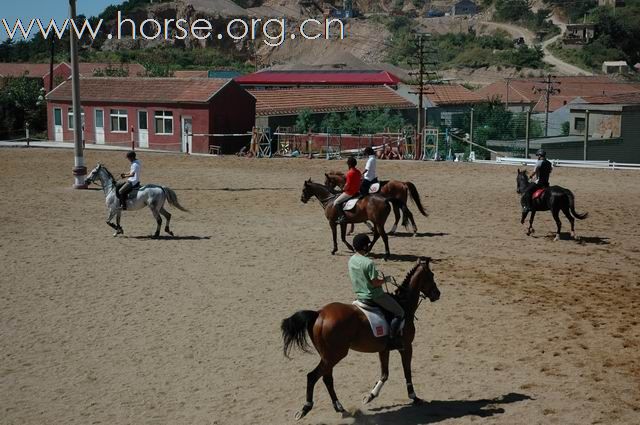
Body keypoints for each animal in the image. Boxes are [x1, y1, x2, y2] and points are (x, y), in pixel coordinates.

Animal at [280, 256, 440, 420]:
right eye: (431, 275)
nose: (437, 294)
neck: (404, 305)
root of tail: (319, 314)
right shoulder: (407, 347)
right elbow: (407, 372)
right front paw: (414, 397)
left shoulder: (384, 349)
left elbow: (384, 374)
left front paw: (370, 396)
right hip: (334, 355)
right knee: (313, 376)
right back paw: (306, 408)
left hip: (327, 356)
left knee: (327, 378)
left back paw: (339, 407)